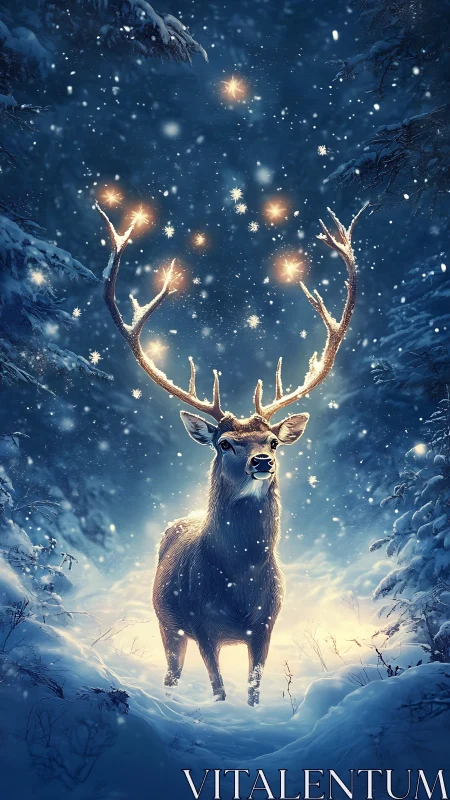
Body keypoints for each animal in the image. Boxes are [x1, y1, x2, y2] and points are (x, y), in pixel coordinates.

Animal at [95, 201, 367, 705]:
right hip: (167, 623)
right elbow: (219, 689)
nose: (263, 461)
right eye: (225, 443)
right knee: (172, 671)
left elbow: (254, 690)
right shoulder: (201, 625)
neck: (239, 589)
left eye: (274, 441)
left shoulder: (266, 626)